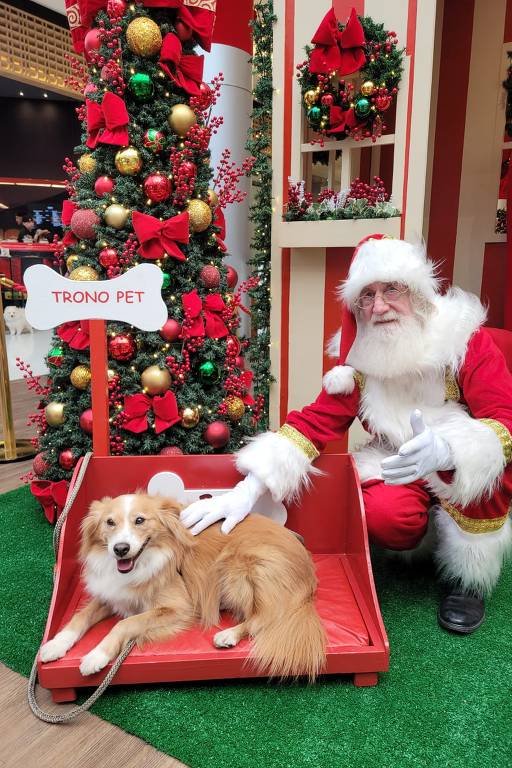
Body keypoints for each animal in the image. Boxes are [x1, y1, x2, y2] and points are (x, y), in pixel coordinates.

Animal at [41, 492, 328, 680]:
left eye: (140, 520)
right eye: (109, 523)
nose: (120, 549)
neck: (145, 561)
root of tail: (308, 575)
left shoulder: (177, 608)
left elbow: (125, 624)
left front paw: (96, 656)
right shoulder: (114, 595)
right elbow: (80, 617)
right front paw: (55, 645)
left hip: (236, 567)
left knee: (264, 618)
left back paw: (229, 635)